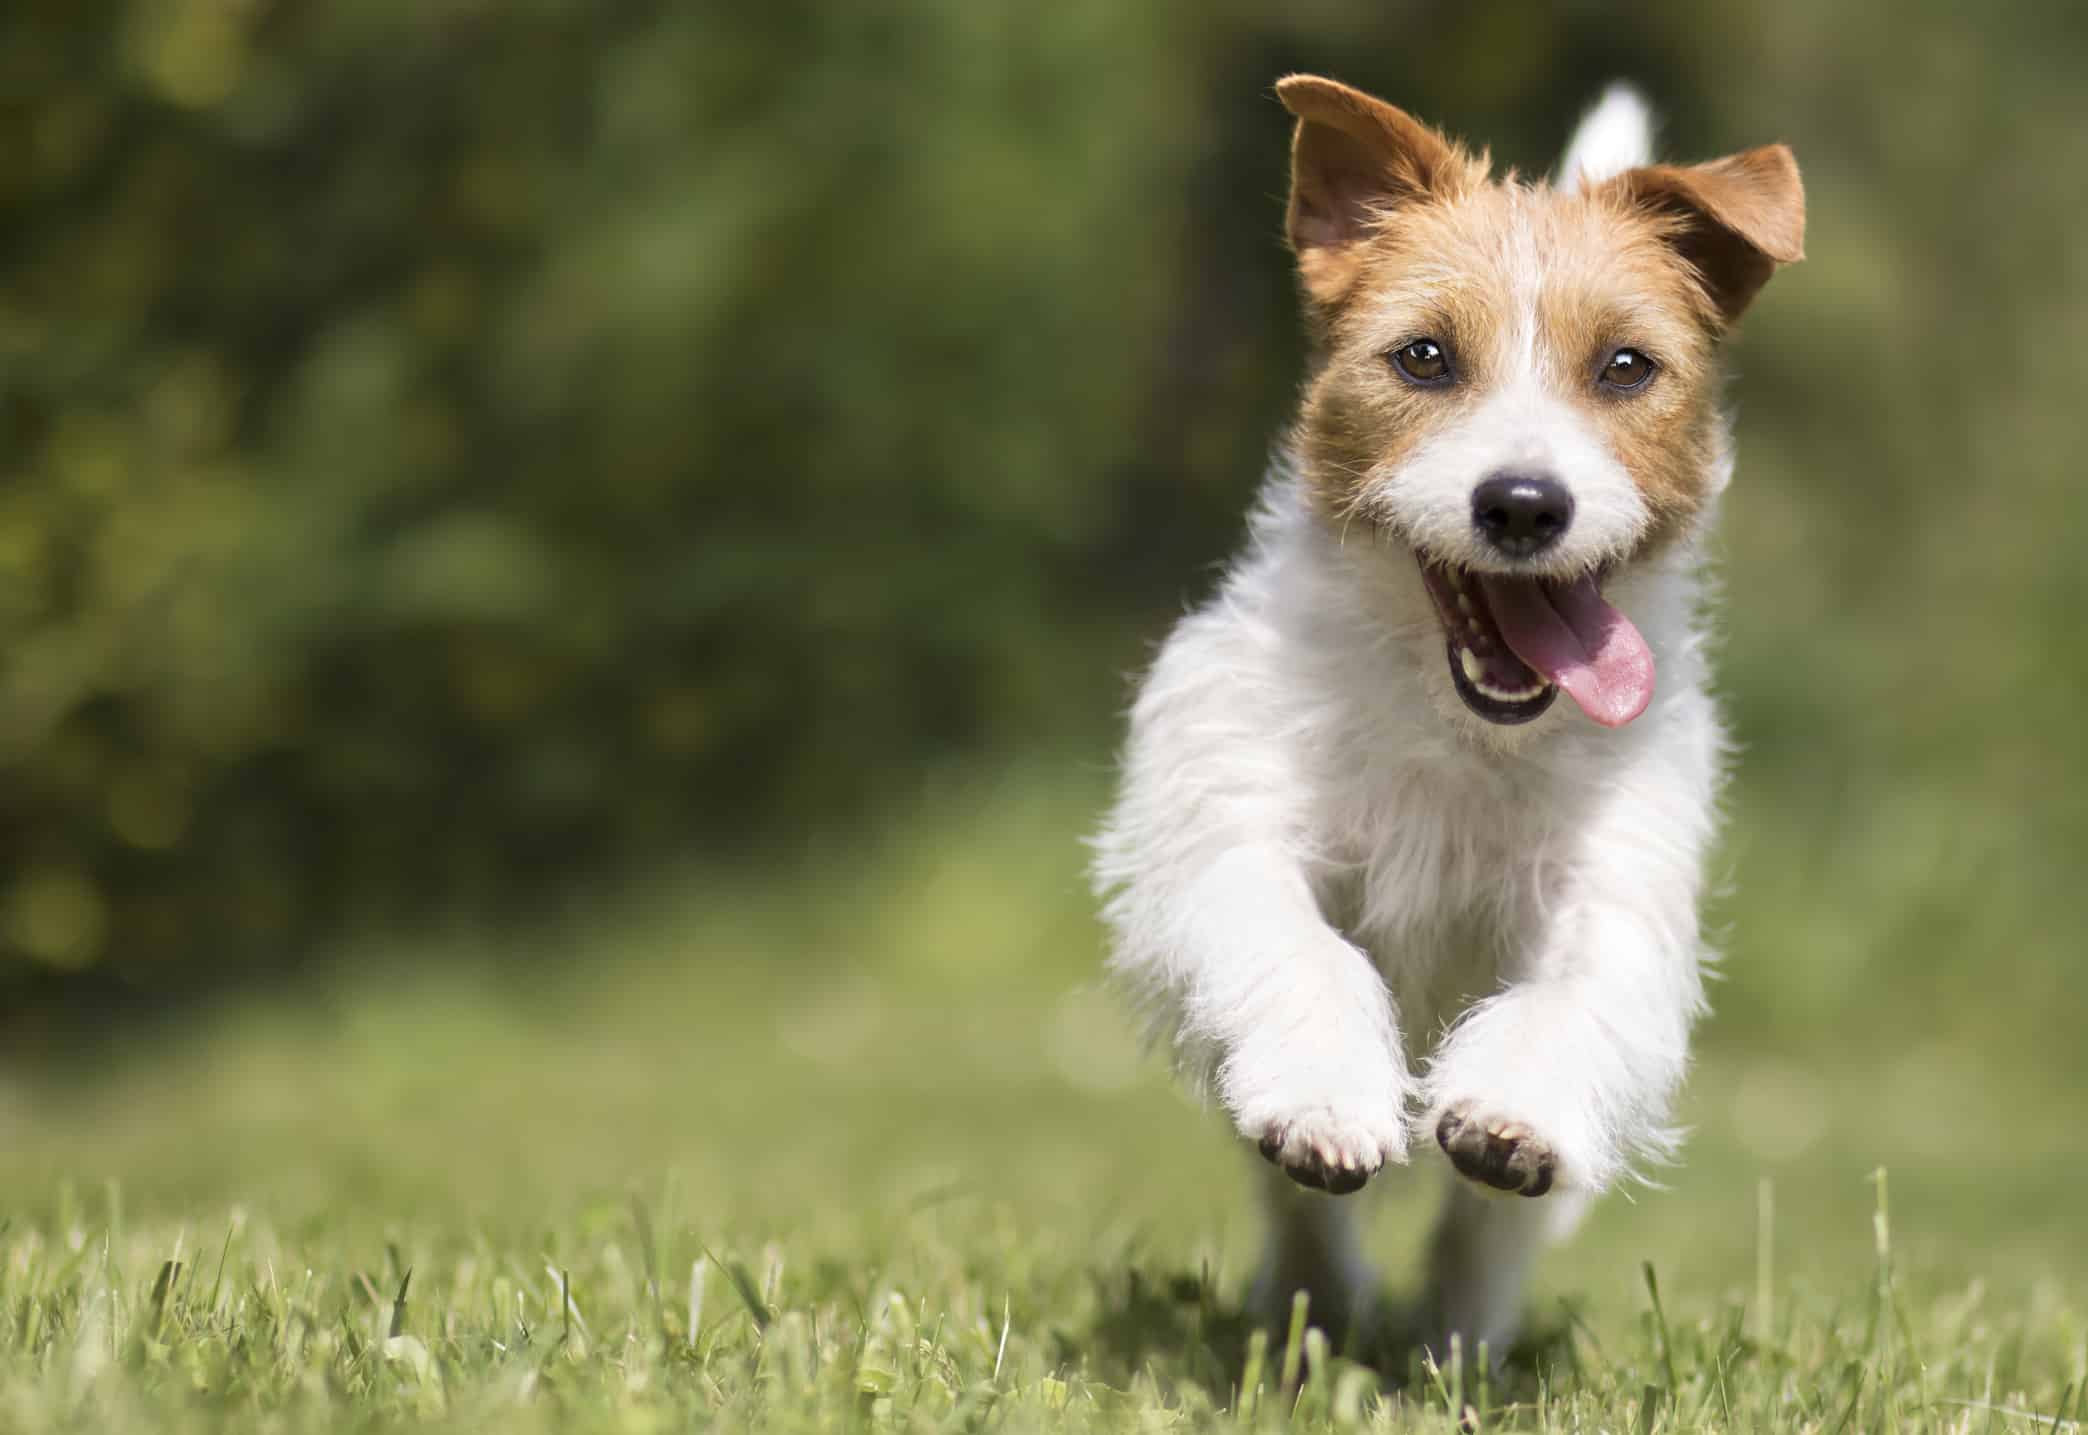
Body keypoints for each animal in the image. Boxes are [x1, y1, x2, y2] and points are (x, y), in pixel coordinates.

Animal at [1094, 75, 1795, 1361]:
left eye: (1626, 366)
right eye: (1423, 357)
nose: (1522, 503)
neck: (1456, 726)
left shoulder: (1612, 893)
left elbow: (1566, 996)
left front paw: (1513, 1113)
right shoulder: (1231, 826)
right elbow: (1304, 946)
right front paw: (1324, 1095)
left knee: (1486, 1234)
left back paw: (1455, 1345)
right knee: (1298, 1205)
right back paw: (1314, 1301)